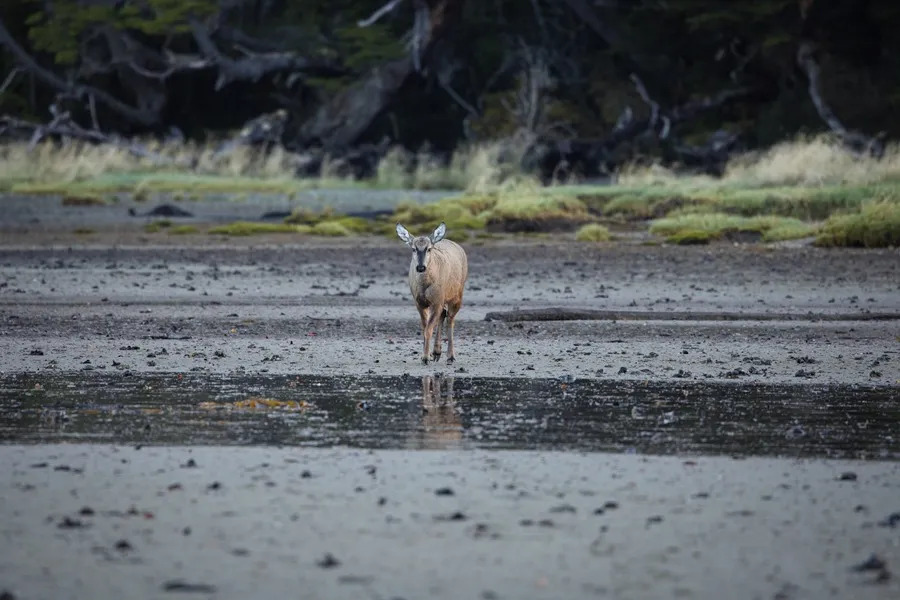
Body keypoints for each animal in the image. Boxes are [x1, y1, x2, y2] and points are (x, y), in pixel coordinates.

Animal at [400, 221, 474, 366]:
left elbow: (429, 328)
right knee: (443, 315)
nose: (421, 267)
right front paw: (427, 354)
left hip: (457, 295)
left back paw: (450, 356)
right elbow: (425, 327)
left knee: (450, 319)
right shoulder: (419, 302)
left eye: (429, 249)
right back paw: (437, 352)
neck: (424, 286)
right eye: (413, 249)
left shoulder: (437, 300)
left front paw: (425, 358)